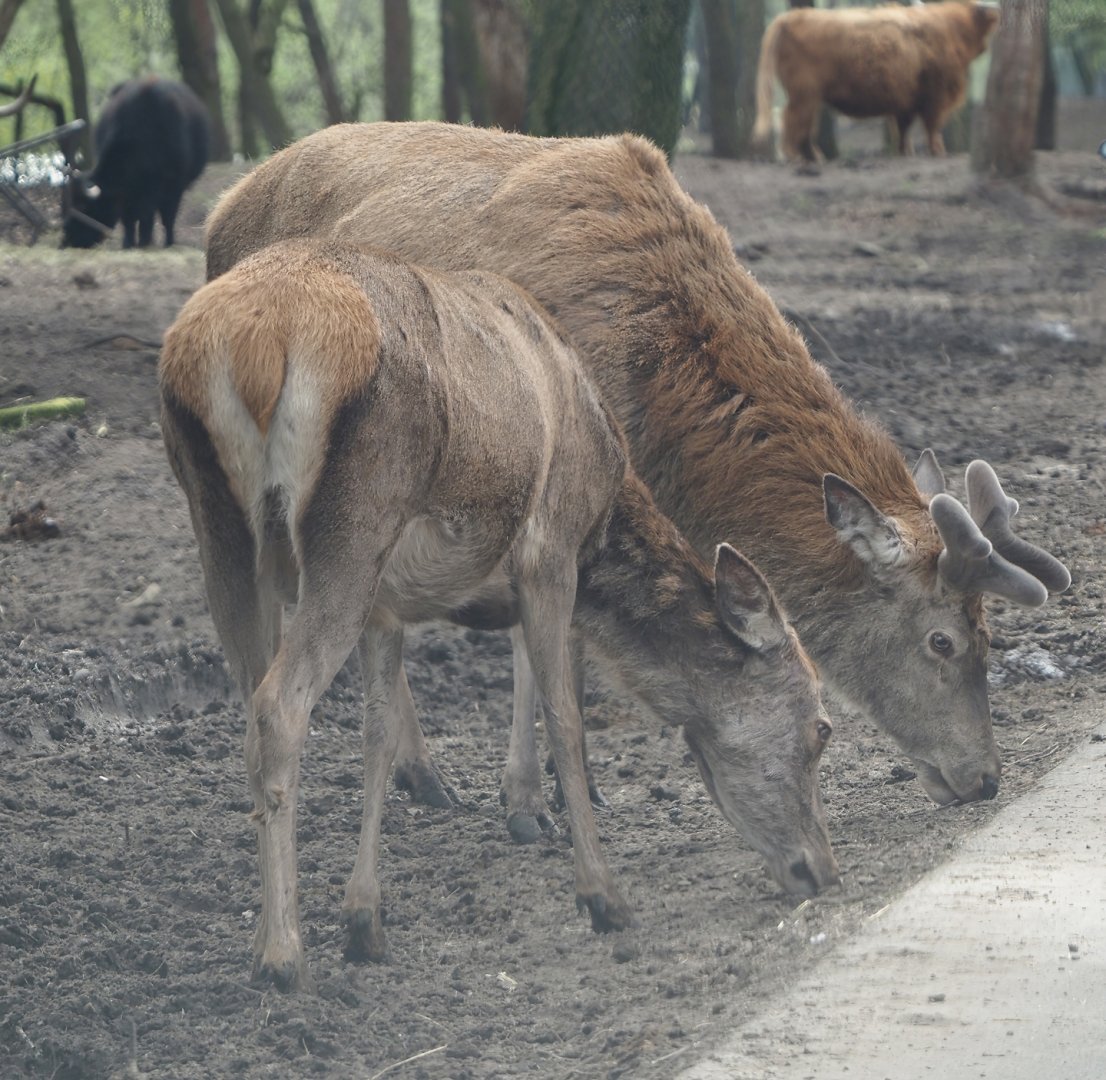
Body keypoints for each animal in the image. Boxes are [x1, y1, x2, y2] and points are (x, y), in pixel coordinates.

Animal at [159, 239, 839, 991]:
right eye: (821, 727)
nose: (824, 870)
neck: (603, 509)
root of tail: (254, 344)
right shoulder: (551, 549)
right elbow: (565, 715)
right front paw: (602, 894)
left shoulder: (386, 607)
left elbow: (379, 734)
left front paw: (366, 921)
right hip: (352, 526)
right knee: (280, 707)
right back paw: (284, 956)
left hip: (220, 530)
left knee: (253, 709)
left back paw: (261, 940)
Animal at [204, 122, 1070, 816]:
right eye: (942, 642)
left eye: (990, 633)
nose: (986, 779)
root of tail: (217, 213)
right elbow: (547, 645)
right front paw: (543, 800)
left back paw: (425, 780)